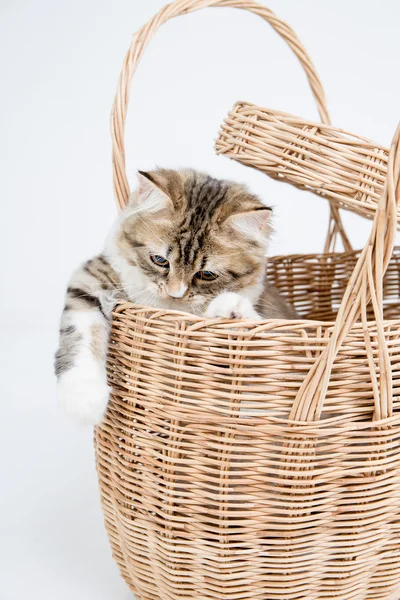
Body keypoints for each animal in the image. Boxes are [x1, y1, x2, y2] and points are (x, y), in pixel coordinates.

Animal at [54, 166, 296, 424]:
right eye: (160, 260)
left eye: (206, 274)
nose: (175, 294)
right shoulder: (90, 281)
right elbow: (82, 332)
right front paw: (83, 399)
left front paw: (233, 312)